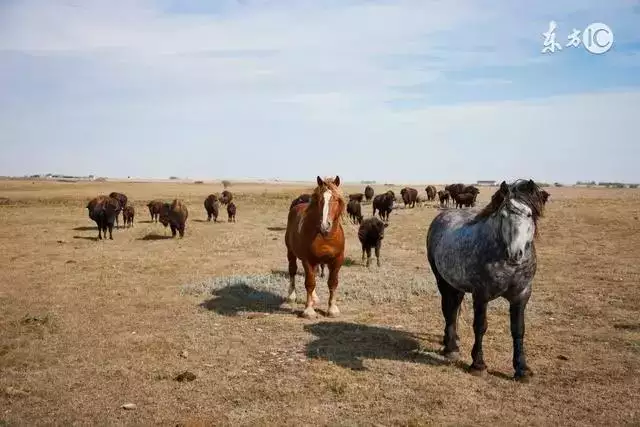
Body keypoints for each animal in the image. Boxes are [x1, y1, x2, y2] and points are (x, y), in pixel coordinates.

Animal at [284, 176, 344, 320]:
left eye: (335, 198)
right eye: (320, 200)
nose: (325, 225)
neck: (326, 238)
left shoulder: (337, 260)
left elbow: (333, 282)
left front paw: (332, 309)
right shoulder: (307, 260)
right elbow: (310, 283)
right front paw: (309, 310)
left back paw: (315, 298)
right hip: (290, 252)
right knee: (292, 271)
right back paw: (291, 296)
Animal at [428, 180, 544, 382]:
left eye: (529, 214)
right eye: (503, 215)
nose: (515, 253)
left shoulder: (521, 295)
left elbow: (518, 329)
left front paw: (522, 368)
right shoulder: (481, 295)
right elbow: (480, 326)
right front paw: (478, 364)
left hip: (457, 285)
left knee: (454, 308)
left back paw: (454, 339)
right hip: (442, 281)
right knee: (448, 310)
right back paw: (451, 347)